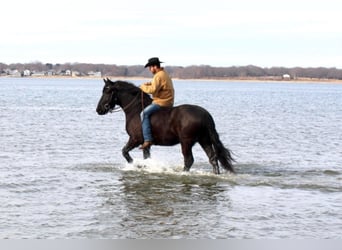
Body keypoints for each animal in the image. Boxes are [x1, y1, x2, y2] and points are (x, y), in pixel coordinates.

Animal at [96, 78, 235, 174]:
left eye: (107, 90)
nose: (99, 109)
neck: (136, 110)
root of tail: (205, 115)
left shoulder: (135, 139)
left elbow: (124, 152)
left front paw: (136, 165)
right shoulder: (146, 144)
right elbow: (146, 157)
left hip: (186, 142)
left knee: (189, 160)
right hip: (204, 140)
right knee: (213, 159)